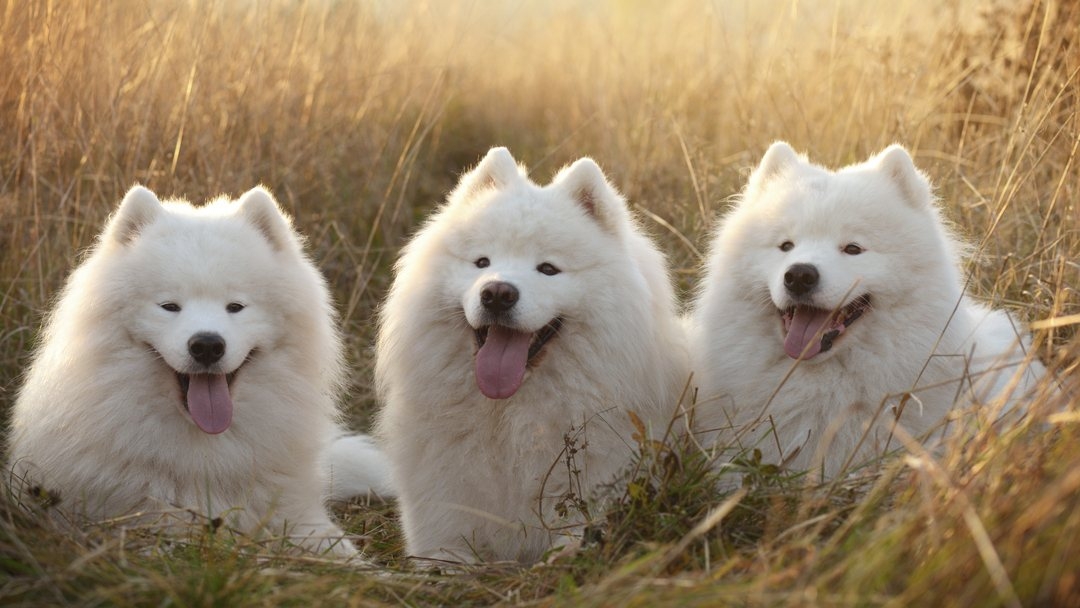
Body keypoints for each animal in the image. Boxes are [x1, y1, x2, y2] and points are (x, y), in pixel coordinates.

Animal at [375, 147, 686, 565]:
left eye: (548, 269)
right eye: (482, 262)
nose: (497, 293)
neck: (511, 421)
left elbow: (574, 536)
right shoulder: (441, 519)